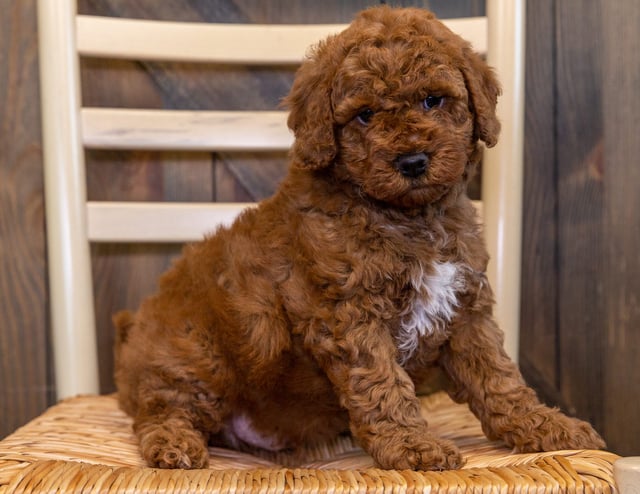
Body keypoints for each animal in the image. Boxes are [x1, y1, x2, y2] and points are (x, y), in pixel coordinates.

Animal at [115, 6, 604, 470]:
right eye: (365, 115)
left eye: (433, 100)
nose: (412, 161)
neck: (407, 218)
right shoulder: (349, 314)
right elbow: (381, 383)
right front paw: (412, 446)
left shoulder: (467, 308)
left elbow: (498, 376)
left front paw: (545, 426)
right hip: (196, 354)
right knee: (163, 408)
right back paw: (174, 445)